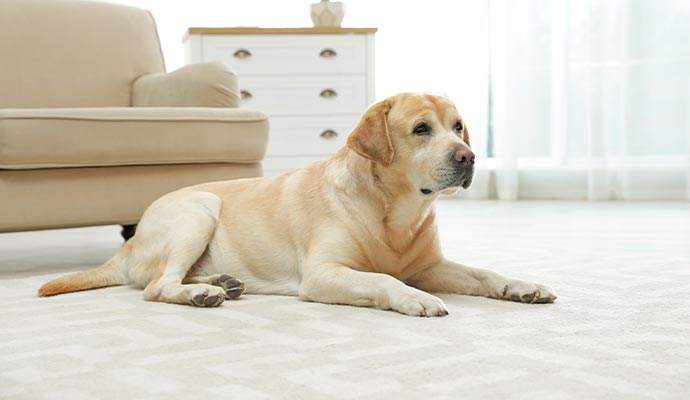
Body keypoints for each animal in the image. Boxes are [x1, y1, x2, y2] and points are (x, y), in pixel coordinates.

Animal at [37, 93, 556, 316]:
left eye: (459, 126)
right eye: (421, 129)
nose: (468, 157)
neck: (396, 214)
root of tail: (128, 244)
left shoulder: (430, 265)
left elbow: (483, 274)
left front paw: (521, 286)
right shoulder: (324, 274)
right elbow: (383, 279)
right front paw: (416, 298)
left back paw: (218, 282)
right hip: (199, 208)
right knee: (156, 287)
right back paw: (201, 293)